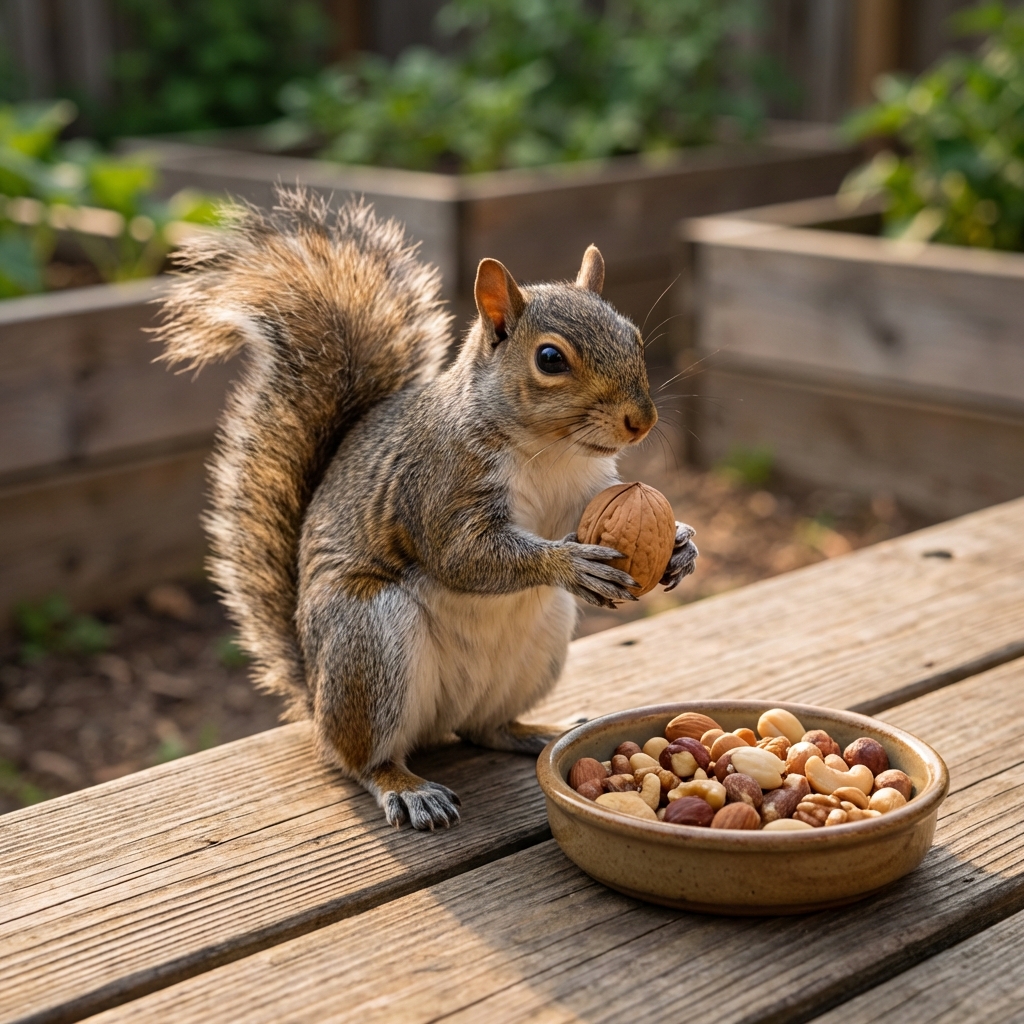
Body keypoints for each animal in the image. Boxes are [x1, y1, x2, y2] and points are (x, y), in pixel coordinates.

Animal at [157, 187, 697, 831]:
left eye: (633, 336)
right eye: (549, 359)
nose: (642, 421)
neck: (552, 451)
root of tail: (313, 693)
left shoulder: (589, 494)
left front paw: (682, 543)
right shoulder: (439, 485)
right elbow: (465, 555)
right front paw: (568, 565)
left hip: (537, 645)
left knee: (484, 728)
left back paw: (538, 733)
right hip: (368, 641)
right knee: (360, 757)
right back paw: (406, 786)